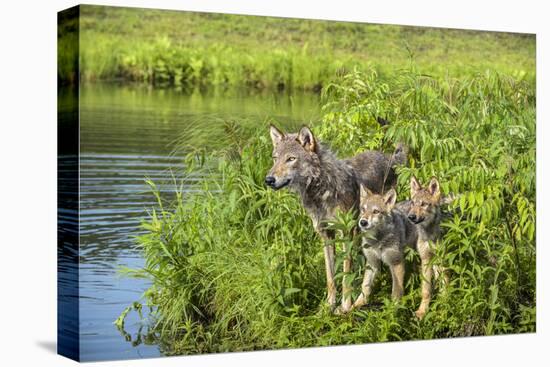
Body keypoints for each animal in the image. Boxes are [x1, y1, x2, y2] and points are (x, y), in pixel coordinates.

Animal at [266, 126, 408, 314]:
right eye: (275, 159)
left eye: (291, 159)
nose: (268, 179)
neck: (321, 192)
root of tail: (388, 156)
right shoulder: (326, 235)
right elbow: (330, 276)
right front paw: (329, 305)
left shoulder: (346, 233)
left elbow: (346, 275)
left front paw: (345, 307)